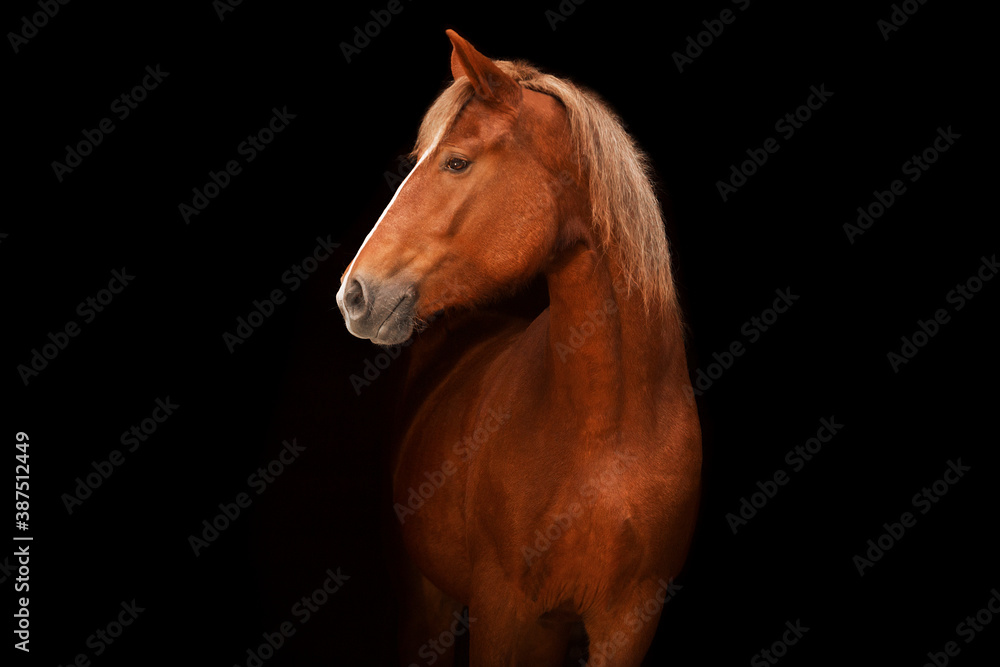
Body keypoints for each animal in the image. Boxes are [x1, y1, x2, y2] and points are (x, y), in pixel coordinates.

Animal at [337, 30, 701, 666]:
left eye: (457, 161)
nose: (354, 294)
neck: (609, 431)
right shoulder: (503, 614)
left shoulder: (628, 622)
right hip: (426, 604)